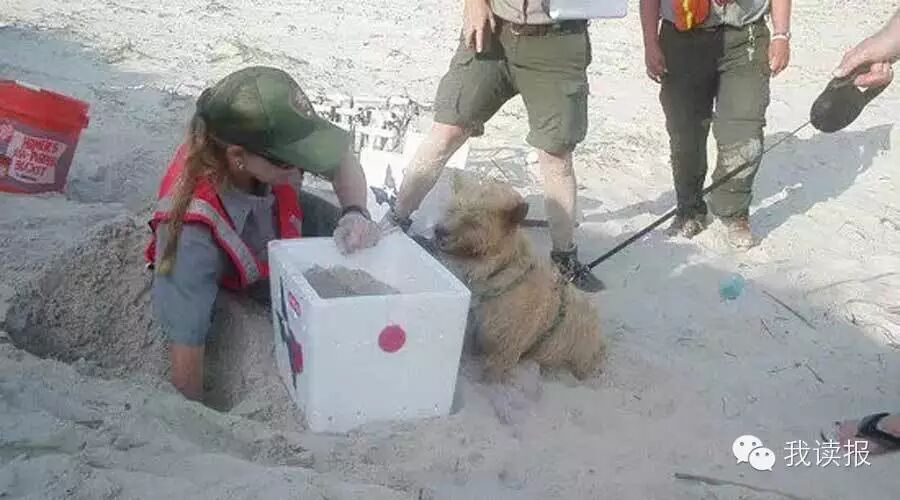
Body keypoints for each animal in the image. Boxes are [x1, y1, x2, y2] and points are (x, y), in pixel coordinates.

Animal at [431, 175, 605, 383]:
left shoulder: (505, 351)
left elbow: (489, 376)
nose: (438, 230)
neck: (500, 269)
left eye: (474, 221)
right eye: (453, 209)